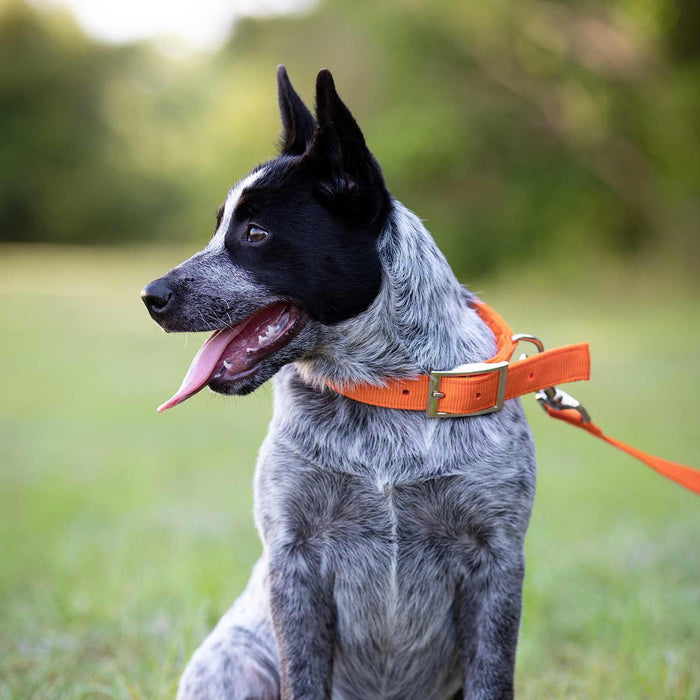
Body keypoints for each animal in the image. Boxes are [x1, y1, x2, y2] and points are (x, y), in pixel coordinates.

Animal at [142, 65, 536, 700]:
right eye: (218, 228)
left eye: (255, 232)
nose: (150, 296)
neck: (384, 388)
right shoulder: (295, 557)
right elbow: (303, 674)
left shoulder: (496, 557)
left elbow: (491, 675)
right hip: (236, 664)